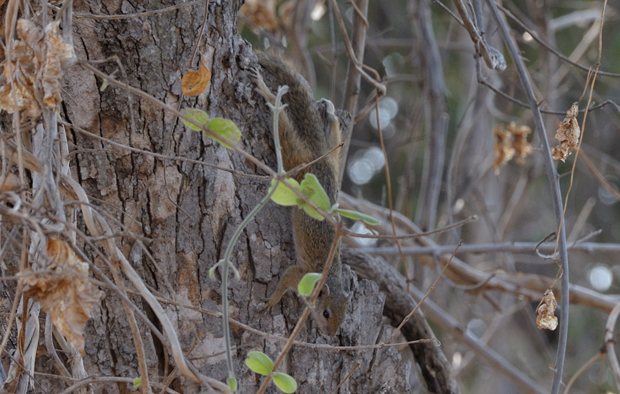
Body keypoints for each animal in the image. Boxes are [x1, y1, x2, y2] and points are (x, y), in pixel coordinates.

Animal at [251, 50, 348, 338]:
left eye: (343, 318)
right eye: (326, 313)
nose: (330, 335)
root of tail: (318, 160)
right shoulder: (300, 275)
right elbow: (284, 280)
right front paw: (271, 302)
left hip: (330, 161)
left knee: (333, 141)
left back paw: (330, 114)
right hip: (296, 162)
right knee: (284, 128)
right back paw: (267, 92)